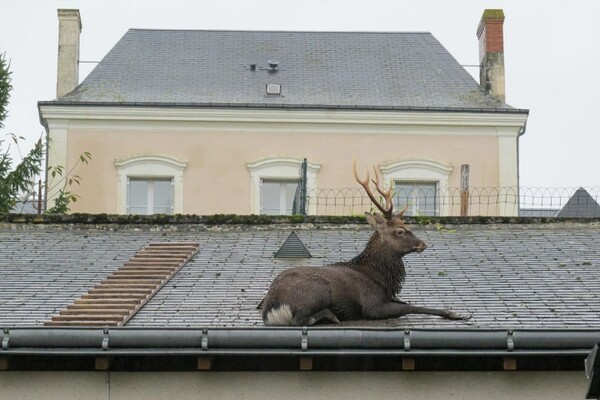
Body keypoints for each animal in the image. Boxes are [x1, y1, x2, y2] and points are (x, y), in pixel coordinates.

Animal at [262, 159, 468, 324]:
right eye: (400, 231)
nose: (422, 244)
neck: (382, 279)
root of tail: (272, 309)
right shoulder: (372, 305)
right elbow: (409, 307)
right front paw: (455, 313)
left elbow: (408, 302)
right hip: (317, 292)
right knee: (300, 320)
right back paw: (331, 315)